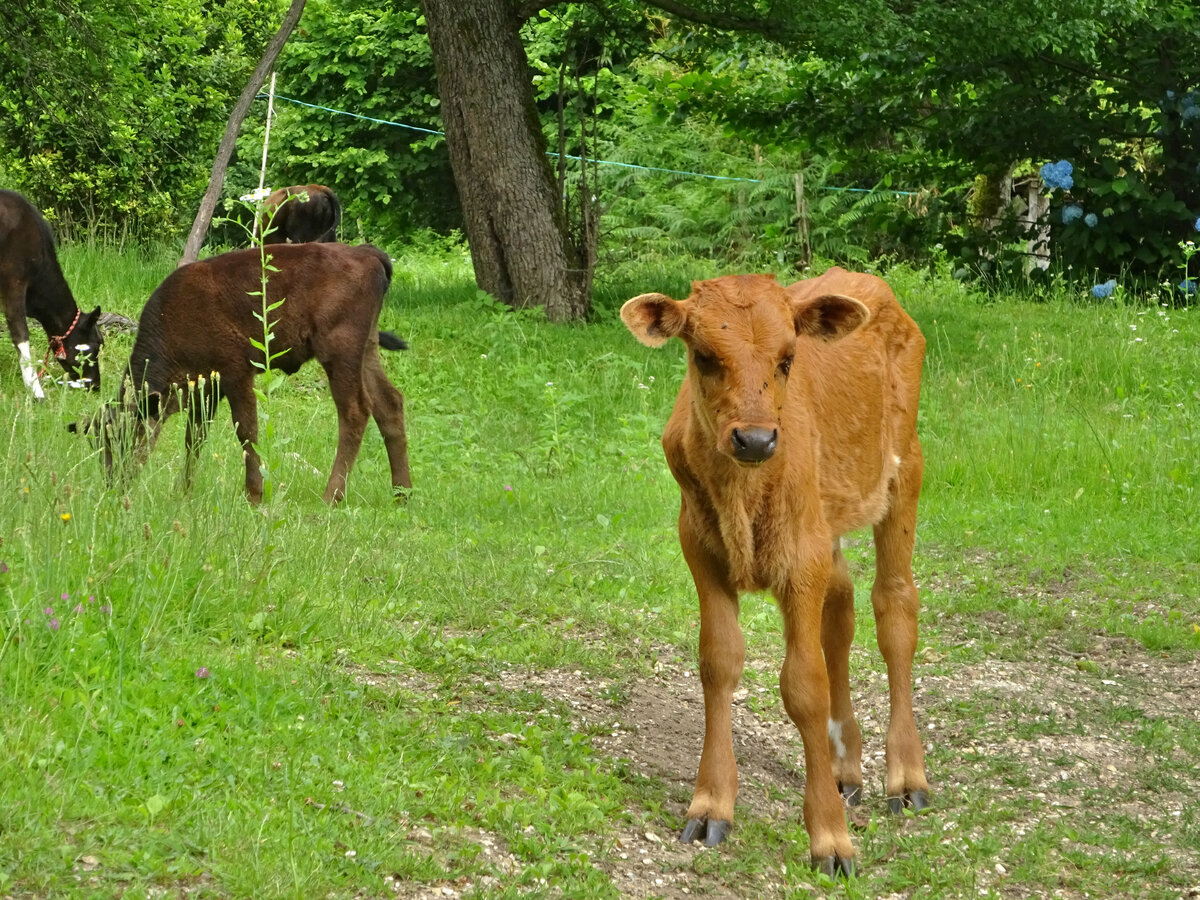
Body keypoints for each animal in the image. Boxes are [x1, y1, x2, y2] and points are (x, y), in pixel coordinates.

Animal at [94, 243, 412, 504]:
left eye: (119, 436)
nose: (112, 486)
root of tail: (366, 254)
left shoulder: (235, 373)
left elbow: (246, 431)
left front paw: (255, 494)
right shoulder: (206, 387)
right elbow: (195, 436)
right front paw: (183, 491)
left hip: (339, 353)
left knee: (355, 411)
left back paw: (330, 497)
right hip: (367, 349)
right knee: (389, 403)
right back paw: (402, 494)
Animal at [624, 266, 931, 873]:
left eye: (788, 358)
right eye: (703, 356)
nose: (756, 438)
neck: (743, 494)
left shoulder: (801, 560)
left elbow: (804, 686)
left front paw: (830, 839)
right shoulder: (701, 547)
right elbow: (719, 662)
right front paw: (711, 805)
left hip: (903, 472)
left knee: (894, 607)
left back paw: (906, 776)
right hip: (828, 522)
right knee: (842, 606)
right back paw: (844, 766)